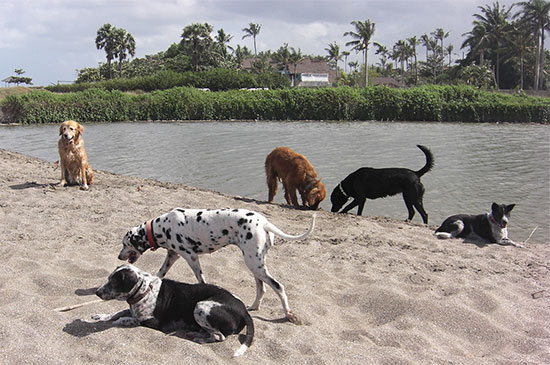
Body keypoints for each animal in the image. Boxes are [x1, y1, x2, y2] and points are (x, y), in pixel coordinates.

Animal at [93, 264, 256, 356]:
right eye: (108, 279)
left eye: (114, 282)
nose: (97, 292)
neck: (144, 291)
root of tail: (244, 311)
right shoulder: (132, 310)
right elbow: (118, 312)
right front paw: (102, 316)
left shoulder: (152, 322)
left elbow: (128, 319)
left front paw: (118, 321)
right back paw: (196, 333)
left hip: (201, 306)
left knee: (219, 336)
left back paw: (199, 339)